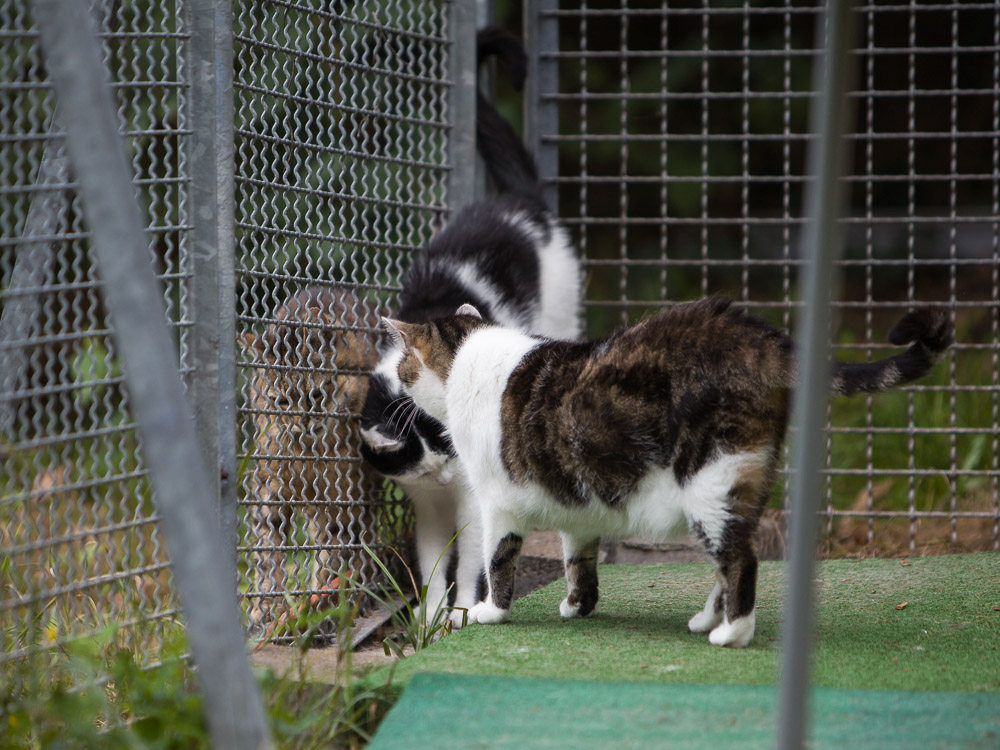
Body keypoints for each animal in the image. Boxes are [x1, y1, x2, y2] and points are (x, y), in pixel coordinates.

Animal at [360, 27, 584, 628]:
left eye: (448, 438)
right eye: (429, 451)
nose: (447, 467)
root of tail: (519, 203)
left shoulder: (470, 494)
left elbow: (472, 556)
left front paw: (460, 613)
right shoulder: (425, 502)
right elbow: (433, 559)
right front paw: (430, 615)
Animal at [380, 298, 952, 648]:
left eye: (405, 364)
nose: (396, 384)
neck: (469, 359)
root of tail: (757, 338)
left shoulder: (496, 503)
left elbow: (498, 563)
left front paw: (488, 612)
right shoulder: (577, 502)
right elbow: (578, 560)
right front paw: (578, 605)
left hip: (709, 482)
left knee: (740, 560)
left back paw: (731, 634)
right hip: (738, 485)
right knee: (729, 556)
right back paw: (706, 620)